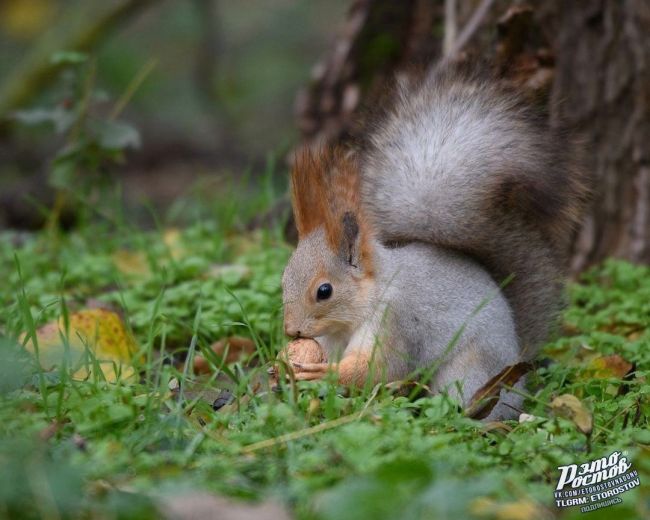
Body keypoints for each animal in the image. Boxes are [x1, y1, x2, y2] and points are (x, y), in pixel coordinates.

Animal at [278, 69, 588, 416]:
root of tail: (517, 371)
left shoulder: (396, 323)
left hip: (468, 372)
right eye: (283, 280)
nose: (291, 331)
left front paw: (323, 373)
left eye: (324, 291)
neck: (372, 293)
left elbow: (379, 370)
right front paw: (282, 364)